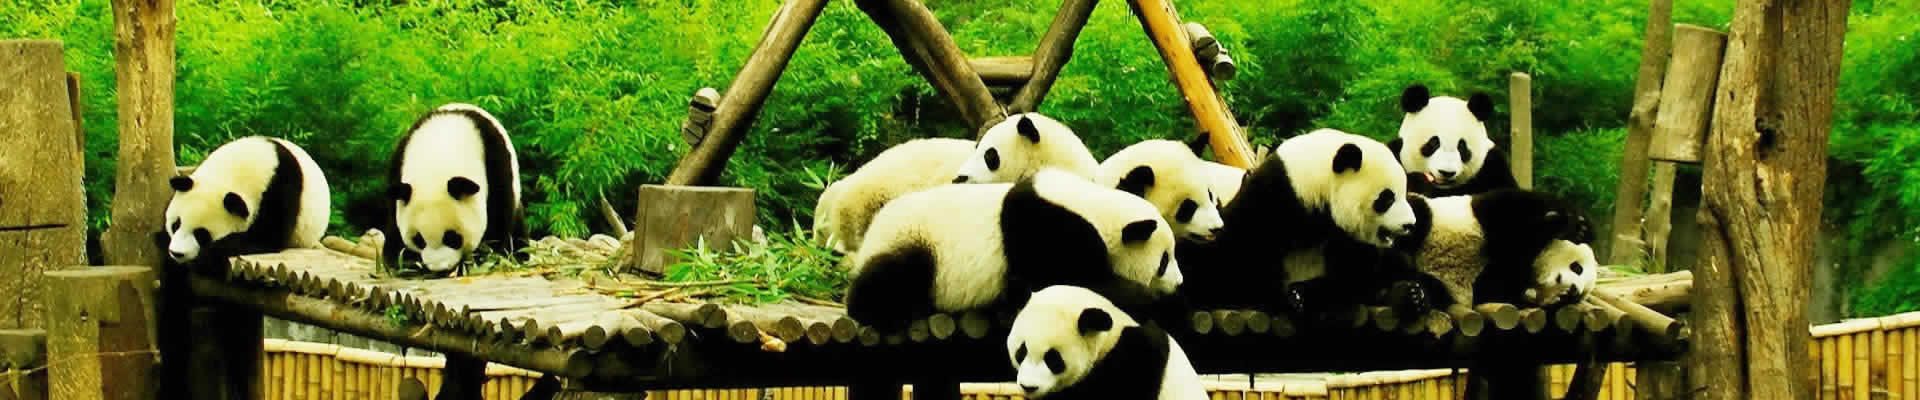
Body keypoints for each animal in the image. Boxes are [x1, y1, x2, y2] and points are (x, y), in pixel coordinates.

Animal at [159, 136, 331, 264]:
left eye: (202, 234)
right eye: (176, 224)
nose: (177, 253)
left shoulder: (279, 190)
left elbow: (266, 238)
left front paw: (209, 254)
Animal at [383, 103, 525, 274]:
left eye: (452, 237)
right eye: (419, 240)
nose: (440, 268)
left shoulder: (494, 162)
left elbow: (498, 216)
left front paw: (481, 257)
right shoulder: (398, 166)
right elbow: (394, 227)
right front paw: (405, 262)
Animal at [846, 168, 1184, 332]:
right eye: (1163, 262)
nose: (1179, 283)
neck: (1095, 209)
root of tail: (872, 232)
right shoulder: (1046, 232)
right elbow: (1074, 281)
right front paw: (1159, 301)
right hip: (918, 242)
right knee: (891, 278)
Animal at [1176, 129, 1420, 316]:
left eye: (1404, 193)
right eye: (1387, 198)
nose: (1410, 224)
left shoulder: (1345, 234)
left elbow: (1353, 277)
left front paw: (1301, 294)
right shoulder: (1273, 197)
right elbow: (1241, 258)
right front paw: (1290, 297)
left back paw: (1412, 294)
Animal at [1384, 189, 1600, 316]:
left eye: (1576, 297)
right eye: (1577, 268)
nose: (1574, 289)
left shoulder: (1496, 287)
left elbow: (1490, 288)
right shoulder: (1502, 211)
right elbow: (1511, 225)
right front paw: (1575, 227)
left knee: (1431, 287)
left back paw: (1410, 295)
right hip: (1419, 218)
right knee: (1418, 216)